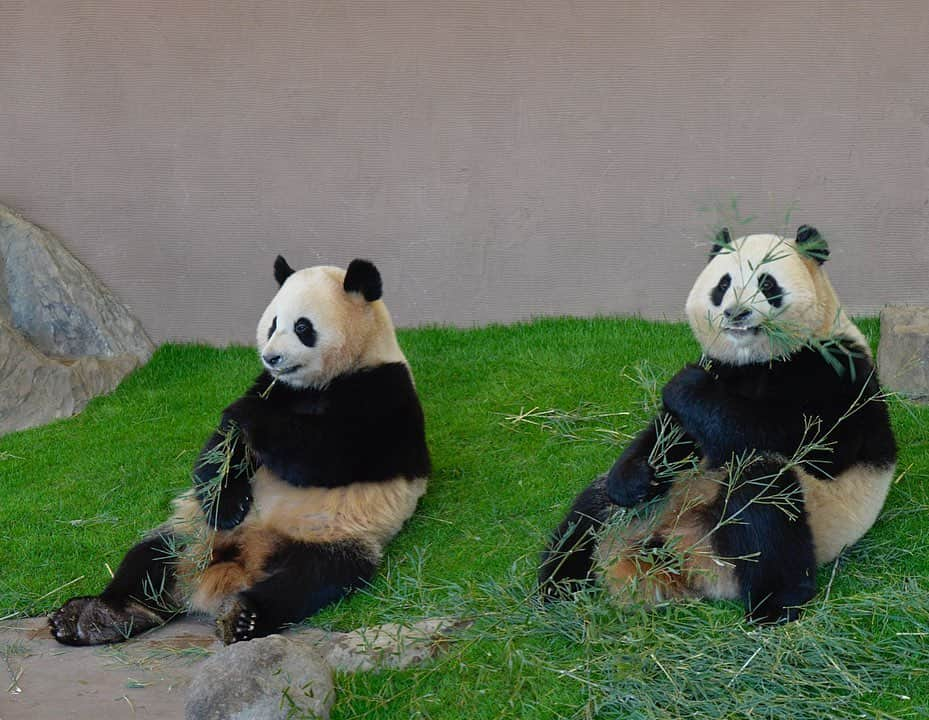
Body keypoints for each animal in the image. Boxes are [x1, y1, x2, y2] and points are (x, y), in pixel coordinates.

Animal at [49, 258, 430, 648]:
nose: (271, 357)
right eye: (273, 323)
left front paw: (250, 414)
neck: (320, 383)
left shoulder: (384, 393)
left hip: (334, 536)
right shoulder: (272, 385)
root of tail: (240, 563)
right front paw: (228, 501)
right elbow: (220, 453)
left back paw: (243, 615)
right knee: (151, 556)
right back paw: (99, 616)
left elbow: (330, 455)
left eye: (302, 327)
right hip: (192, 529)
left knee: (311, 578)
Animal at [540, 226, 896, 624]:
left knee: (764, 496)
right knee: (589, 513)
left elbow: (808, 440)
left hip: (794, 524)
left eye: (767, 283)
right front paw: (633, 479)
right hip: (655, 506)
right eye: (723, 284)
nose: (736, 312)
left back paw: (776, 605)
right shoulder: (724, 368)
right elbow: (673, 436)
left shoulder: (834, 371)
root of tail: (677, 555)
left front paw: (686, 384)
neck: (758, 360)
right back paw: (556, 586)